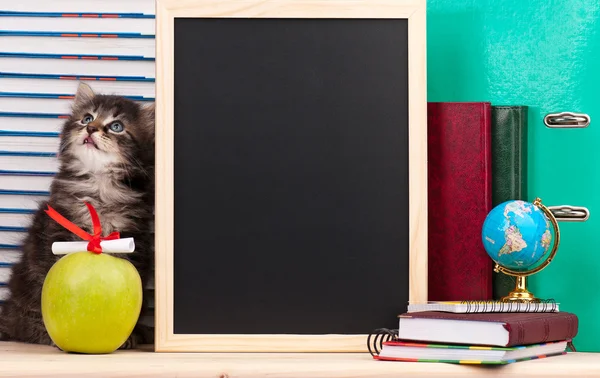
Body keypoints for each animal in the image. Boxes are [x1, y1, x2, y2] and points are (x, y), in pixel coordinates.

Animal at [0, 82, 155, 348]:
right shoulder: (57, 233)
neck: (100, 187)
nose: (91, 128)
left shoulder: (134, 239)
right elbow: (46, 278)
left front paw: (130, 337)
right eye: (87, 118)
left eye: (116, 126)